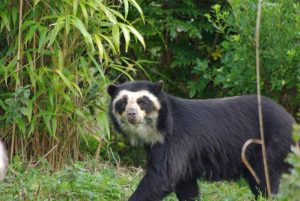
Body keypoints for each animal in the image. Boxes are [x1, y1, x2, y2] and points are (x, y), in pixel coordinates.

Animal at [107, 80, 292, 201]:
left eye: (142, 102)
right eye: (123, 102)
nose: (131, 114)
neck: (156, 129)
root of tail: (291, 120)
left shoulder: (175, 140)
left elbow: (163, 175)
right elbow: (185, 184)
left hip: (269, 145)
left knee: (265, 178)